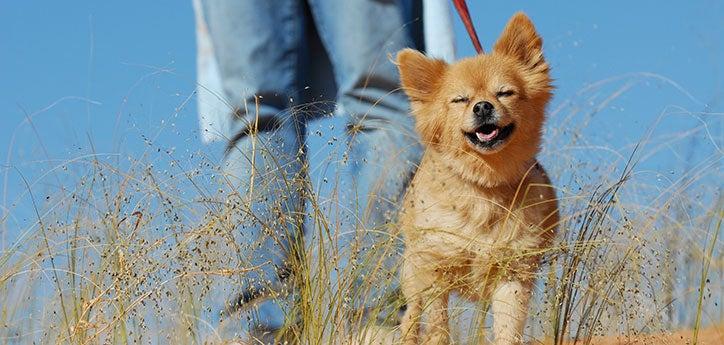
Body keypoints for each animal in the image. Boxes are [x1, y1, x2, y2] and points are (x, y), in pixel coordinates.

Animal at [396, 12, 560, 342]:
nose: (483, 106)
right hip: (413, 272)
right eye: (460, 100)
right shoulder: (435, 269)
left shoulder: (512, 274)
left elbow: (508, 330)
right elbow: (437, 327)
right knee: (412, 315)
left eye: (504, 93)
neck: (483, 184)